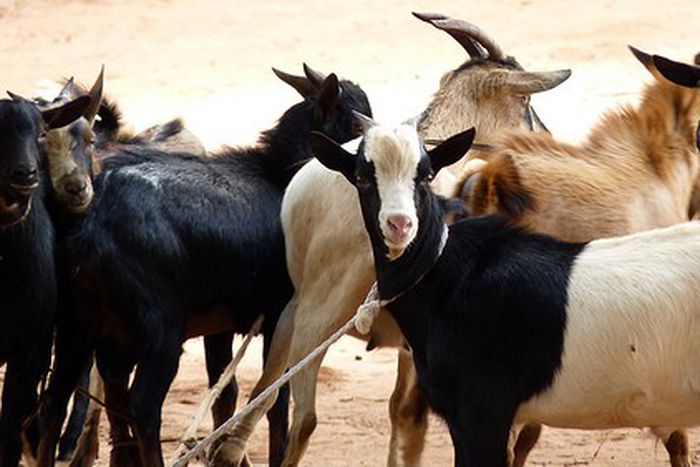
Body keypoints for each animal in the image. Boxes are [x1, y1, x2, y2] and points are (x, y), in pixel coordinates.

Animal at [36, 66, 371, 467]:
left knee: (58, 400)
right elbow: (275, 398)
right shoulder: (282, 314)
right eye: (357, 121)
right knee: (142, 404)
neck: (279, 176)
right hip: (158, 333)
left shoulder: (220, 325)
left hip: (79, 322)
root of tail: (89, 223)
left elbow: (225, 393)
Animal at [215, 13, 570, 467]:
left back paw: (225, 450)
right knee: (304, 418)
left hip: (297, 307)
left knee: (264, 392)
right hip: (321, 311)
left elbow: (403, 414)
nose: (547, 138)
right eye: (525, 103)